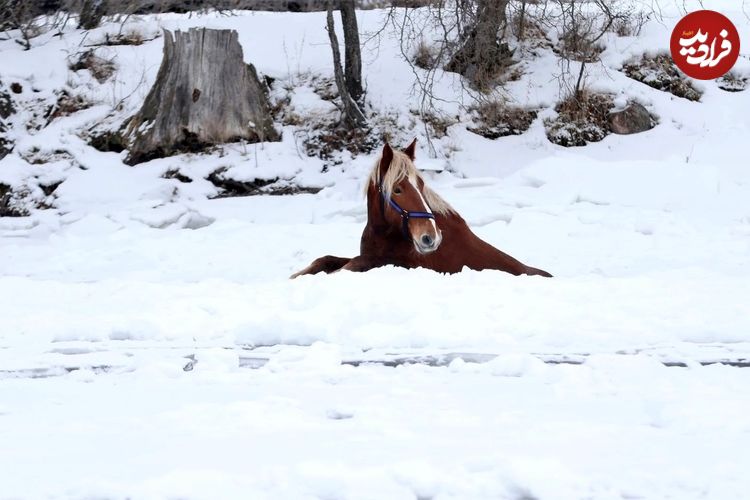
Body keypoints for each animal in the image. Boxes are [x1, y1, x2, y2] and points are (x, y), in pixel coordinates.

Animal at [290, 140, 556, 278]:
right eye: (397, 189)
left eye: (420, 184)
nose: (431, 237)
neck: (387, 235)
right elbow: (325, 260)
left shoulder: (387, 263)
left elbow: (345, 267)